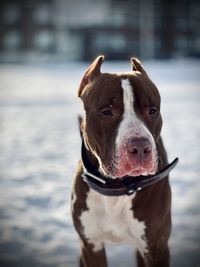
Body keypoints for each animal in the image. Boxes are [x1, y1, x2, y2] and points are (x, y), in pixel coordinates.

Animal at [71, 55, 177, 266]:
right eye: (106, 111)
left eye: (152, 110)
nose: (140, 147)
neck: (117, 189)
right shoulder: (91, 246)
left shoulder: (156, 247)